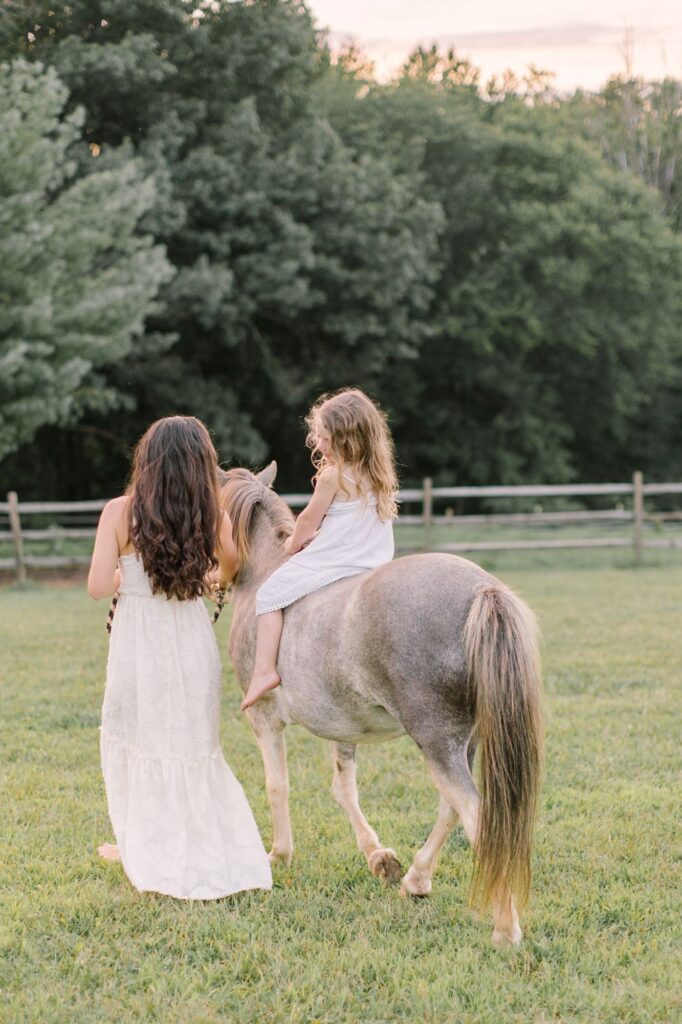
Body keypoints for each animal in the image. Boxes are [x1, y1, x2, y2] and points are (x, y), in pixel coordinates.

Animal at [220, 463, 543, 947]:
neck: (264, 574)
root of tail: (481, 590)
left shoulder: (265, 721)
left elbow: (278, 786)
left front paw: (278, 855)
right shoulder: (342, 726)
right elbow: (344, 788)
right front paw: (379, 858)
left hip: (437, 741)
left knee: (474, 812)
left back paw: (505, 928)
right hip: (462, 741)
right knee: (452, 807)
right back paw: (417, 879)